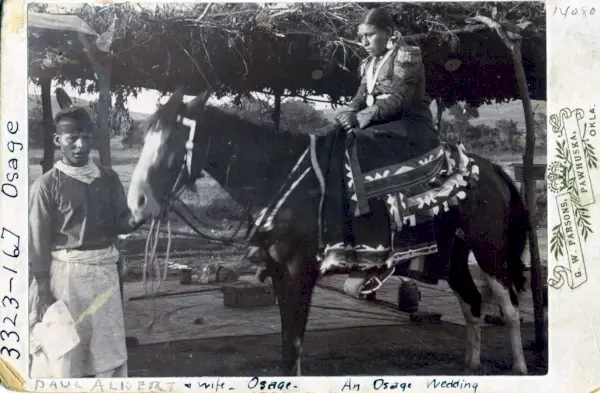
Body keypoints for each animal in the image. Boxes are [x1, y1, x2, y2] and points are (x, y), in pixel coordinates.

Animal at [125, 88, 528, 374]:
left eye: (171, 141)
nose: (137, 203)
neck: (278, 174)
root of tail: (491, 169)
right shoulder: (278, 272)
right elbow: (287, 345)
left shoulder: (298, 271)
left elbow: (294, 345)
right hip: (454, 255)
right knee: (472, 304)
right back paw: (472, 364)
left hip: (490, 249)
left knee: (507, 307)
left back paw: (521, 367)